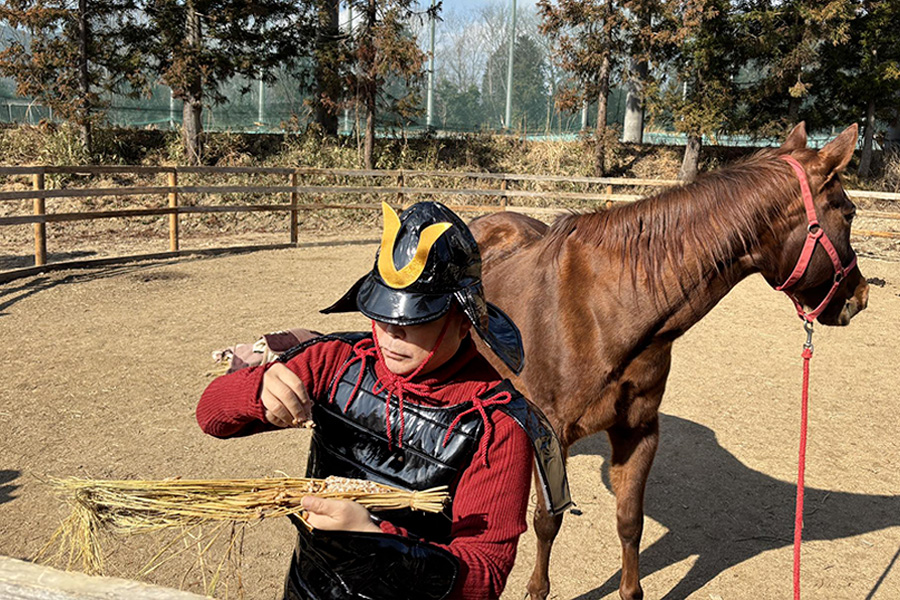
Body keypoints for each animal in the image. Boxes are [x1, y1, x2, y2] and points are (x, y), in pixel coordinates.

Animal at [468, 123, 869, 600]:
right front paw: (536, 588)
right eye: (849, 213)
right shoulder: (550, 434)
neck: (604, 307)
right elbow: (547, 521)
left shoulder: (639, 432)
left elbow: (629, 524)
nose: (861, 296)